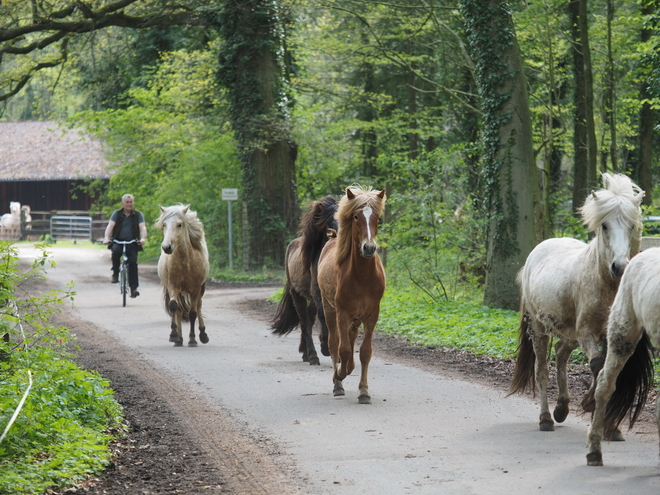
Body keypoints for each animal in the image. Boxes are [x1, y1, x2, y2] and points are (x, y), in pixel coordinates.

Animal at [155, 205, 209, 348]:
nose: (166, 247)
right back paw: (179, 339)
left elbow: (193, 313)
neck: (186, 263)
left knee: (198, 306)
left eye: (179, 224)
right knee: (178, 310)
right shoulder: (173, 287)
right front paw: (174, 335)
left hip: (201, 289)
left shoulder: (196, 290)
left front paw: (192, 340)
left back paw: (203, 335)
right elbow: (174, 307)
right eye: (164, 224)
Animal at [270, 197, 338, 364]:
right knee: (305, 321)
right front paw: (325, 347)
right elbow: (323, 316)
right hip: (297, 294)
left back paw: (305, 352)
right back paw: (312, 355)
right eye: (330, 224)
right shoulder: (318, 292)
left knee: (309, 319)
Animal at [316, 185, 384, 404]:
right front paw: (339, 375)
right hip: (330, 310)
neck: (362, 276)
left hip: (355, 318)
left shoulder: (372, 314)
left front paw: (364, 391)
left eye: (378, 218)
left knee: (351, 340)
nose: (369, 248)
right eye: (355, 216)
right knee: (334, 343)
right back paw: (338, 383)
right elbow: (343, 350)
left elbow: (365, 352)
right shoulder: (342, 313)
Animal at [510, 173, 644, 434]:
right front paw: (591, 404)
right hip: (539, 329)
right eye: (604, 226)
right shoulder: (587, 333)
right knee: (542, 370)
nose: (620, 266)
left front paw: (609, 426)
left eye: (631, 225)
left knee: (561, 354)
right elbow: (597, 366)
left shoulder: (614, 337)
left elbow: (608, 373)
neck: (606, 286)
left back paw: (562, 408)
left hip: (568, 332)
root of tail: (537, 251)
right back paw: (546, 419)